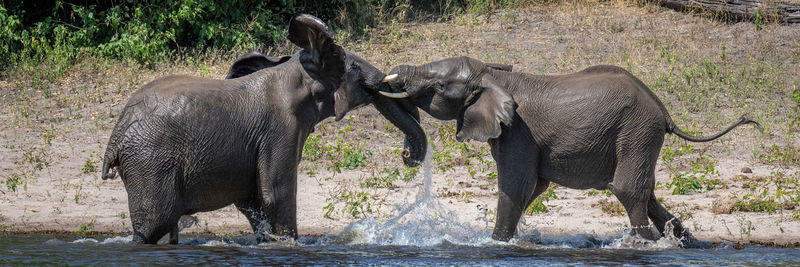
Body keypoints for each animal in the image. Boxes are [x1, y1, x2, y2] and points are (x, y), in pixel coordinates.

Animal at [101, 14, 428, 245]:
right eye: (355, 68)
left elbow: (253, 202)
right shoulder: (279, 128)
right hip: (151, 161)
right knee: (153, 224)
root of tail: (115, 137)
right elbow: (277, 192)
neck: (295, 71)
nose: (407, 155)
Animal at [378, 57, 760, 247]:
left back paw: (644, 245)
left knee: (629, 190)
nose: (407, 156)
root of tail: (664, 111)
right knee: (649, 194)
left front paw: (498, 244)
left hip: (636, 130)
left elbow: (517, 187)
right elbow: (534, 188)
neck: (493, 77)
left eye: (440, 86)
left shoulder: (519, 131)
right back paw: (686, 245)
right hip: (641, 136)